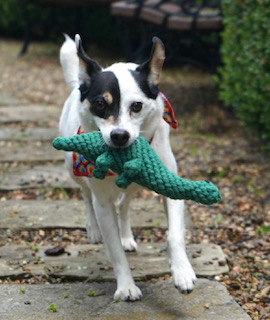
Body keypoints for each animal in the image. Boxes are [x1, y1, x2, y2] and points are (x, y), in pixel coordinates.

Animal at [58, 34, 196, 300]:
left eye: (137, 106)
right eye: (100, 104)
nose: (119, 136)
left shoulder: (171, 186)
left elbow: (174, 234)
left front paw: (182, 271)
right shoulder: (102, 203)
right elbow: (114, 248)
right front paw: (126, 286)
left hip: (134, 186)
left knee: (123, 204)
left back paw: (126, 236)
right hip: (72, 167)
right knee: (86, 194)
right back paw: (93, 229)